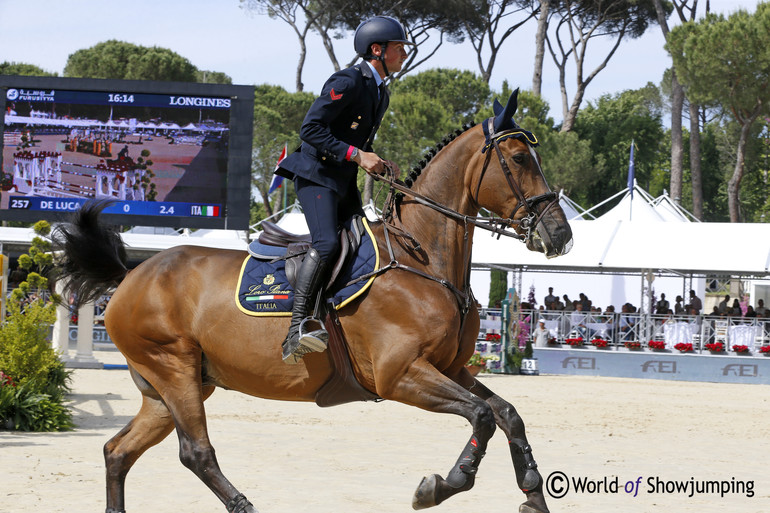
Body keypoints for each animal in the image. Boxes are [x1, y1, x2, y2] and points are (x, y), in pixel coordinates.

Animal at [54, 90, 568, 512]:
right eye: (519, 158)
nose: (560, 233)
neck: (421, 260)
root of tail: (132, 274)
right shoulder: (400, 375)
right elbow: (481, 416)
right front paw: (441, 485)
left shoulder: (451, 368)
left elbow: (507, 414)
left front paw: (532, 492)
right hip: (173, 369)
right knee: (195, 452)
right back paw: (245, 505)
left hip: (173, 388)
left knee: (119, 451)